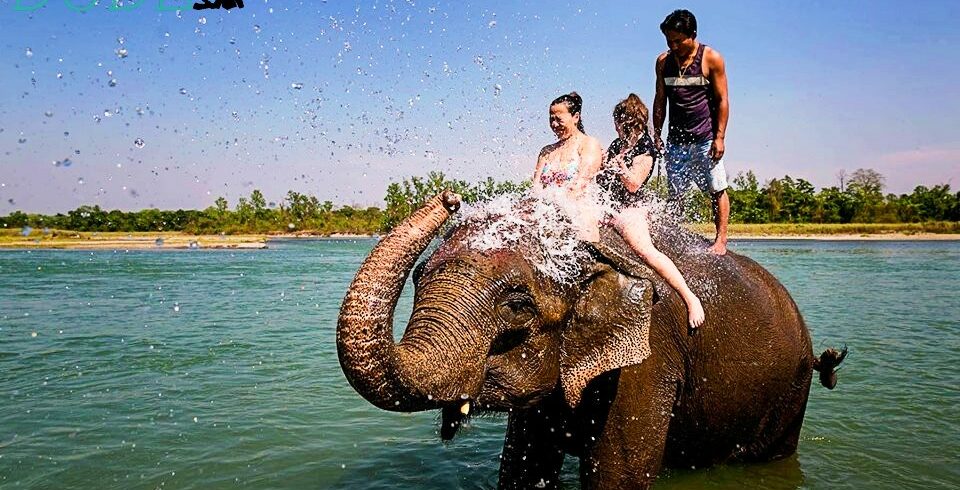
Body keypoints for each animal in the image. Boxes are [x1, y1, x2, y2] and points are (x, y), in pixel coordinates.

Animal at [337, 191, 846, 489]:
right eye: (419, 278)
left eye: (516, 303)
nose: (450, 197)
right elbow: (521, 469)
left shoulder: (647, 360)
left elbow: (616, 476)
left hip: (790, 394)